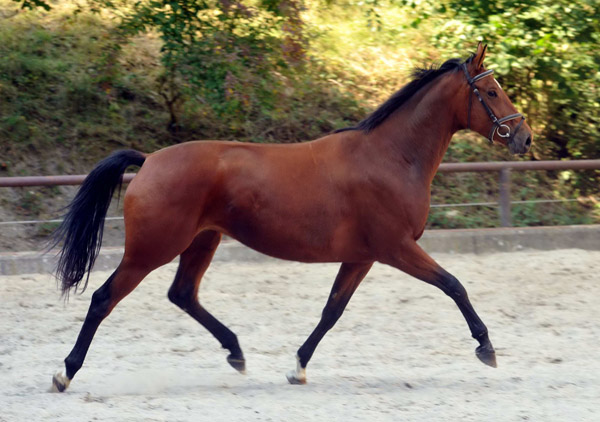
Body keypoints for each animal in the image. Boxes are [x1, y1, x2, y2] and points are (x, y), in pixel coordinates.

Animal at [50, 43, 528, 392]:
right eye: (491, 92)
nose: (523, 136)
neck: (391, 157)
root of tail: (149, 161)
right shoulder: (397, 248)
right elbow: (454, 285)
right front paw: (486, 347)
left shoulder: (363, 256)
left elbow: (331, 311)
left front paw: (297, 367)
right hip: (152, 249)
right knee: (104, 299)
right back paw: (65, 372)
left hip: (203, 241)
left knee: (183, 294)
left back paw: (236, 353)